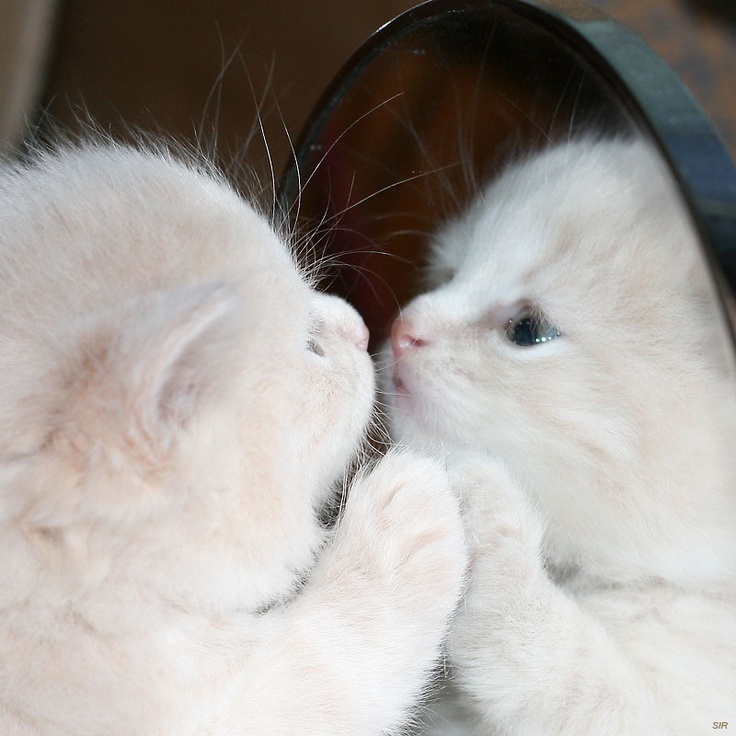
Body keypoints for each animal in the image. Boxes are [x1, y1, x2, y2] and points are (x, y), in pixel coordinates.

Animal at [382, 135, 736, 732]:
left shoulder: (667, 710)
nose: (401, 329)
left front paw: (484, 501)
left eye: (528, 330)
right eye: (447, 275)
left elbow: (558, 659)